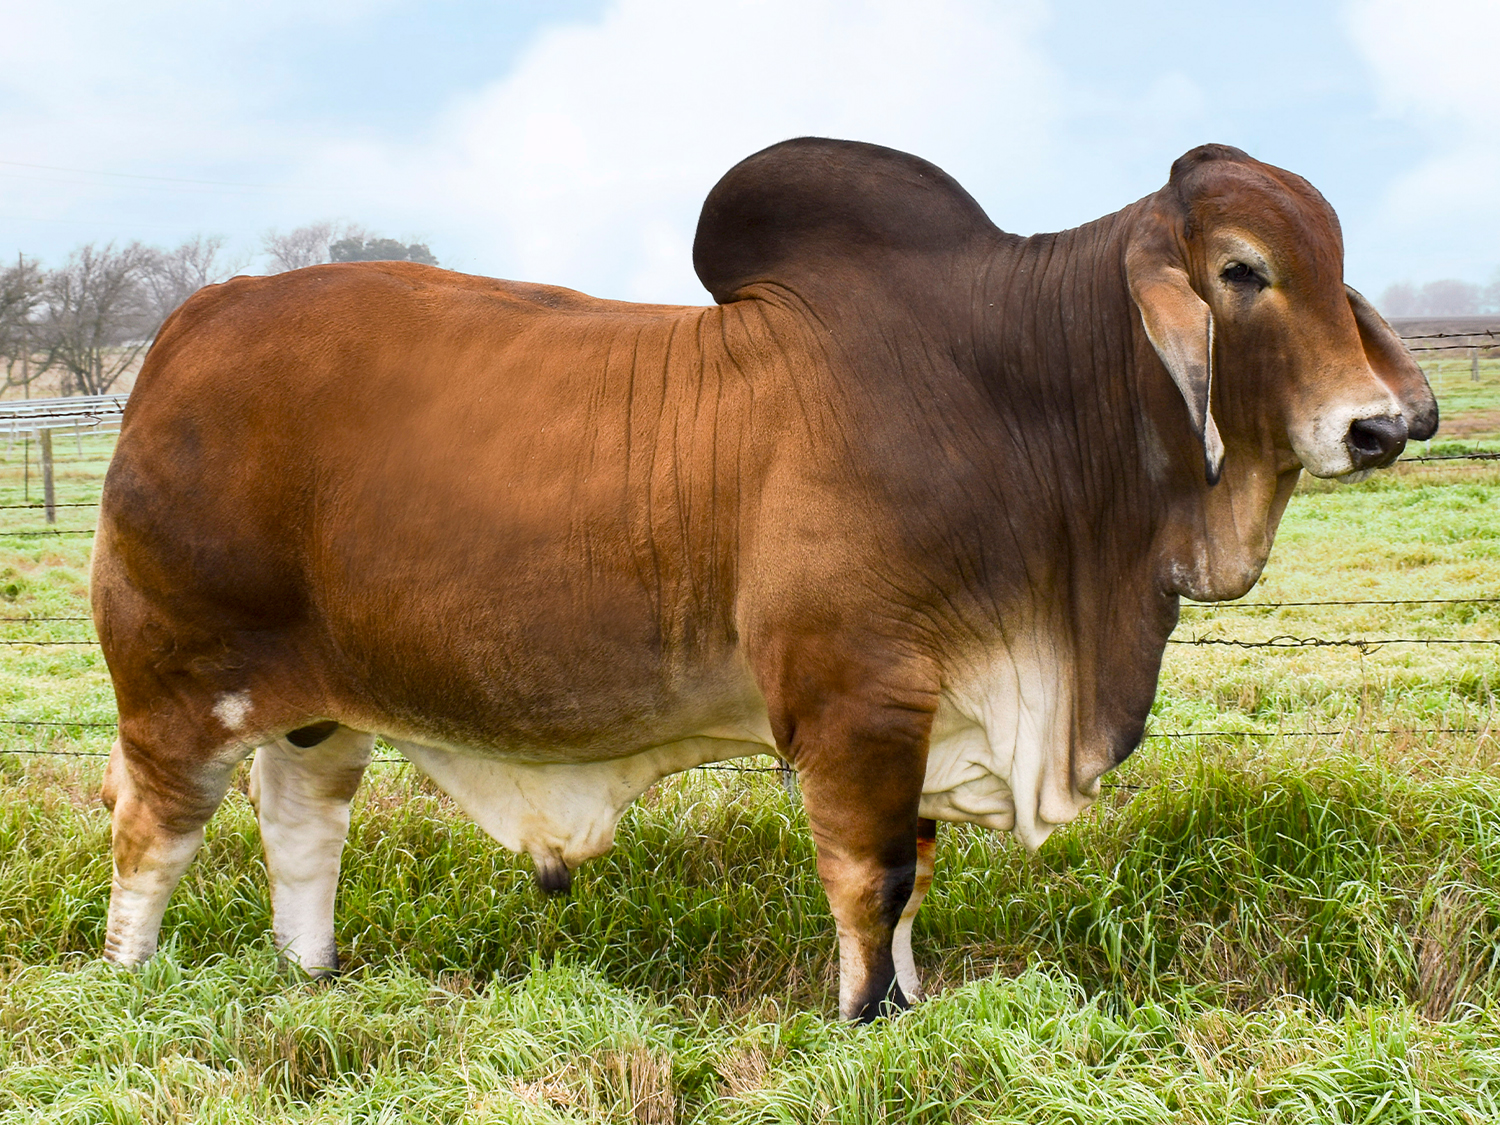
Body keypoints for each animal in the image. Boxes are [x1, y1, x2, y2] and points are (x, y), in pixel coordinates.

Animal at [96, 138, 1440, 1020]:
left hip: (317, 706)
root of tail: (194, 322)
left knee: (301, 821)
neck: (1017, 393)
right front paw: (861, 1021)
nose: (1380, 427)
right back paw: (130, 985)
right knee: (153, 833)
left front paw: (909, 1006)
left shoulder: (926, 711)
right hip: (176, 688)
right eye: (1244, 270)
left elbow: (912, 883)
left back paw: (310, 978)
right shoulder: (856, 701)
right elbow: (870, 876)